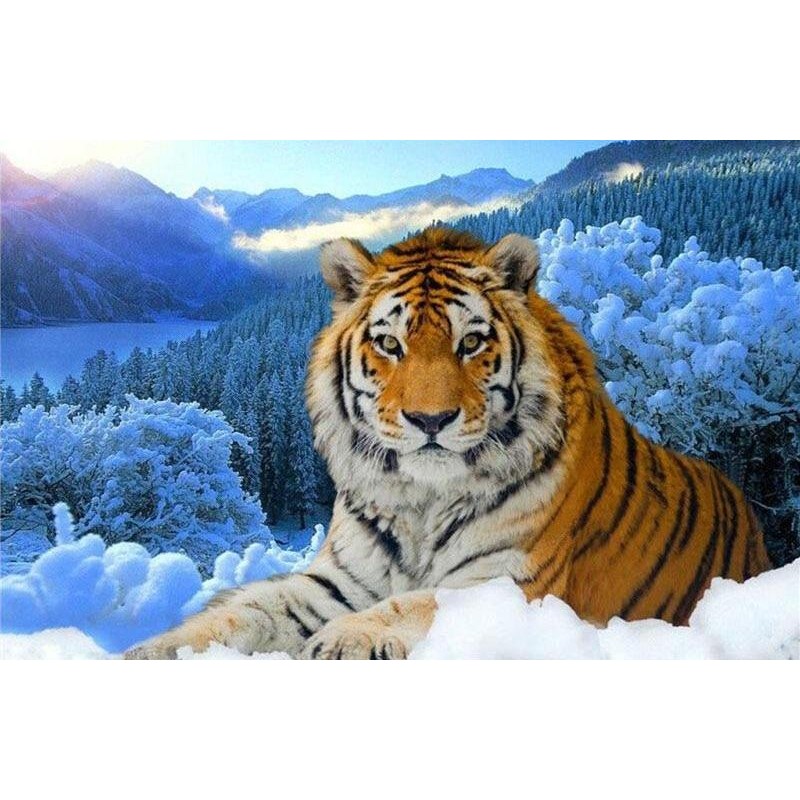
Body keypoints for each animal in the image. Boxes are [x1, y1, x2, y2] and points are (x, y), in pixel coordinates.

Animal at [126, 226, 772, 659]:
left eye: (471, 343)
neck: (421, 501)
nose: (430, 419)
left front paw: (343, 640)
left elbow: (417, 602)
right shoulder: (337, 582)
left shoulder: (511, 584)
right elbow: (244, 611)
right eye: (390, 344)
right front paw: (150, 651)